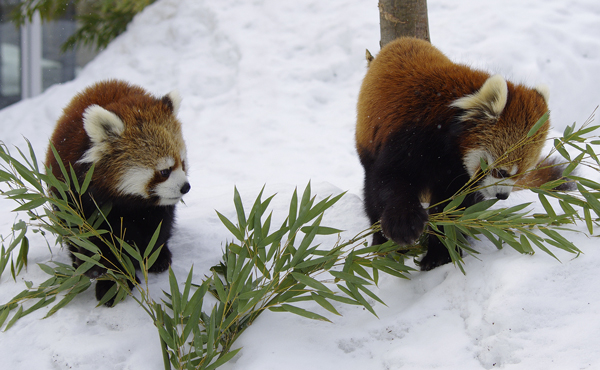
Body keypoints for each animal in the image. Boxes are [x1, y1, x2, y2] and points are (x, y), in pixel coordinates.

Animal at [46, 79, 191, 304]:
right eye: (164, 171)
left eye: (182, 164)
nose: (186, 187)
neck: (126, 202)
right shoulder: (82, 200)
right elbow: (98, 242)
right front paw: (112, 281)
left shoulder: (152, 208)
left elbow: (158, 225)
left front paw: (154, 257)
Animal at [356, 37, 568, 272]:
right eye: (501, 171)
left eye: (520, 175)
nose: (502, 195)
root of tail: (400, 41)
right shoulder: (409, 137)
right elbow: (390, 180)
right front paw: (404, 225)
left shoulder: (456, 175)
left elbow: (452, 207)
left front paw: (441, 253)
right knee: (371, 193)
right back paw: (382, 243)